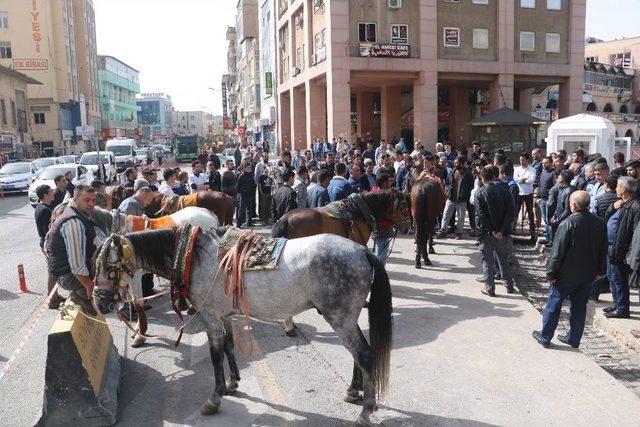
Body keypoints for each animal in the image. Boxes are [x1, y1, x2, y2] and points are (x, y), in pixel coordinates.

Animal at [92, 229, 392, 426]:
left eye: (109, 266)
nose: (99, 301)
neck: (192, 255)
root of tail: (362, 250)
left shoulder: (211, 317)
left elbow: (215, 355)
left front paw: (215, 398)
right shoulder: (224, 315)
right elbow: (228, 345)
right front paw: (232, 382)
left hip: (339, 318)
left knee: (364, 355)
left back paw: (365, 411)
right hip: (346, 318)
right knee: (358, 354)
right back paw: (353, 392)